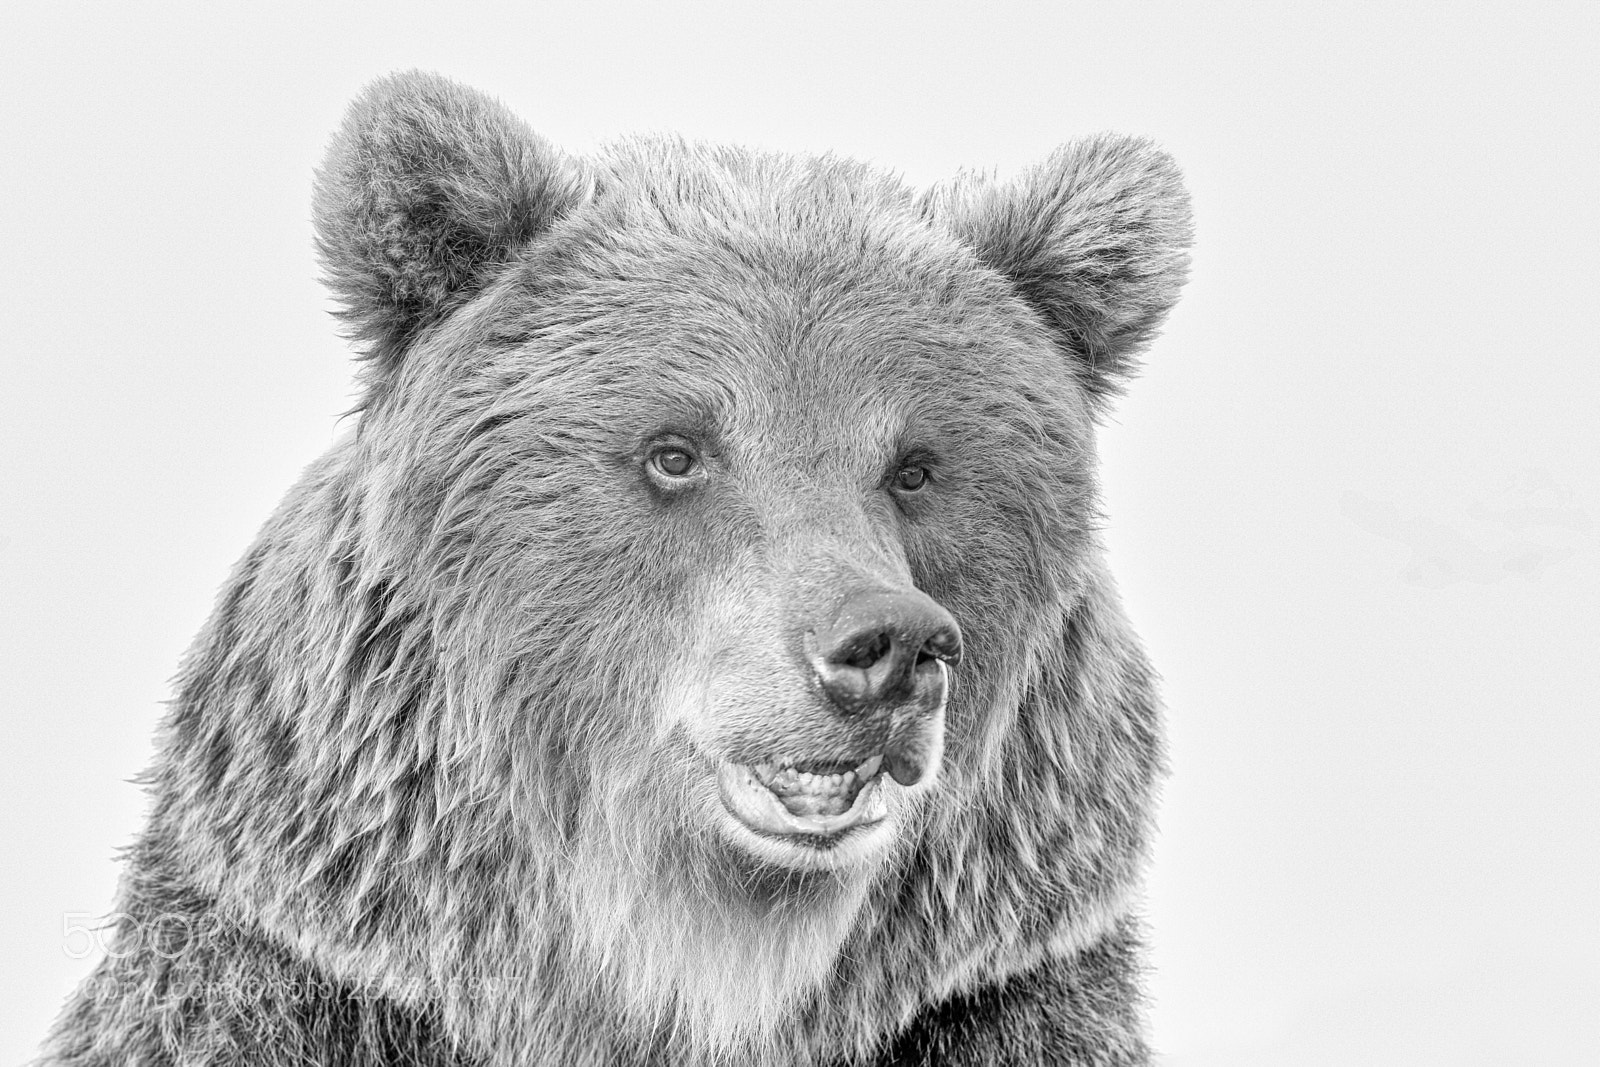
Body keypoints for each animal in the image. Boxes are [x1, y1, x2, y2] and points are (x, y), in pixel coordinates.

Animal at [38, 71, 1191, 1066]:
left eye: (914, 466)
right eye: (675, 450)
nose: (890, 643)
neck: (691, 969)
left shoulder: (999, 1002)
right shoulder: (289, 984)